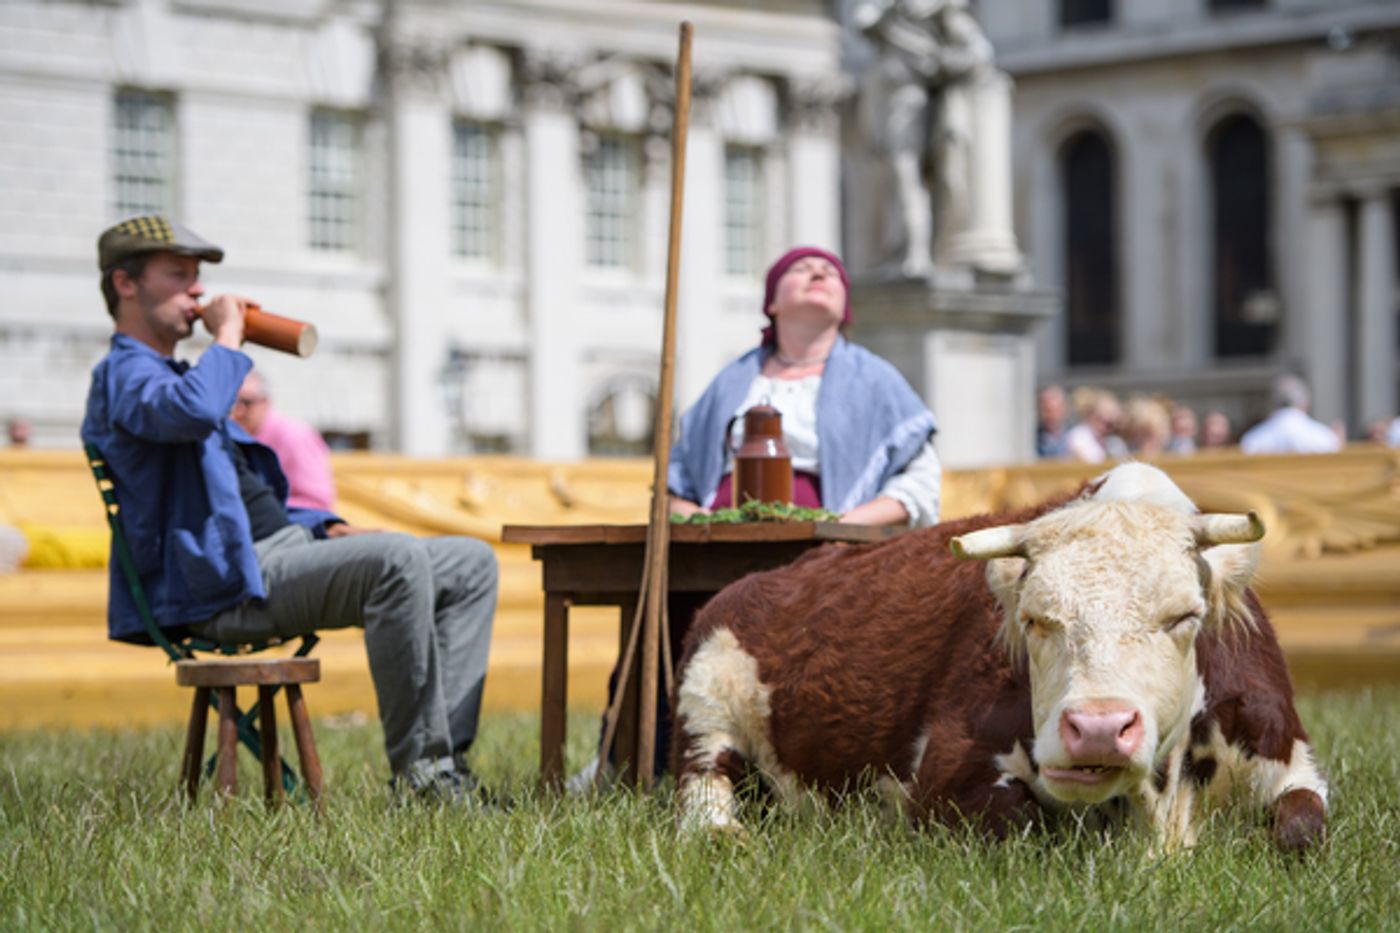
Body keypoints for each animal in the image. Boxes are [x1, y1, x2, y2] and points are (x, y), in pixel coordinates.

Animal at [671, 463, 1328, 852]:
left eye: (1183, 617)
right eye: (1035, 619)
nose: (1097, 728)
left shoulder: (1291, 760)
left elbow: (1301, 827)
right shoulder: (945, 780)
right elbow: (1024, 826)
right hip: (705, 710)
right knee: (703, 790)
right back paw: (724, 833)